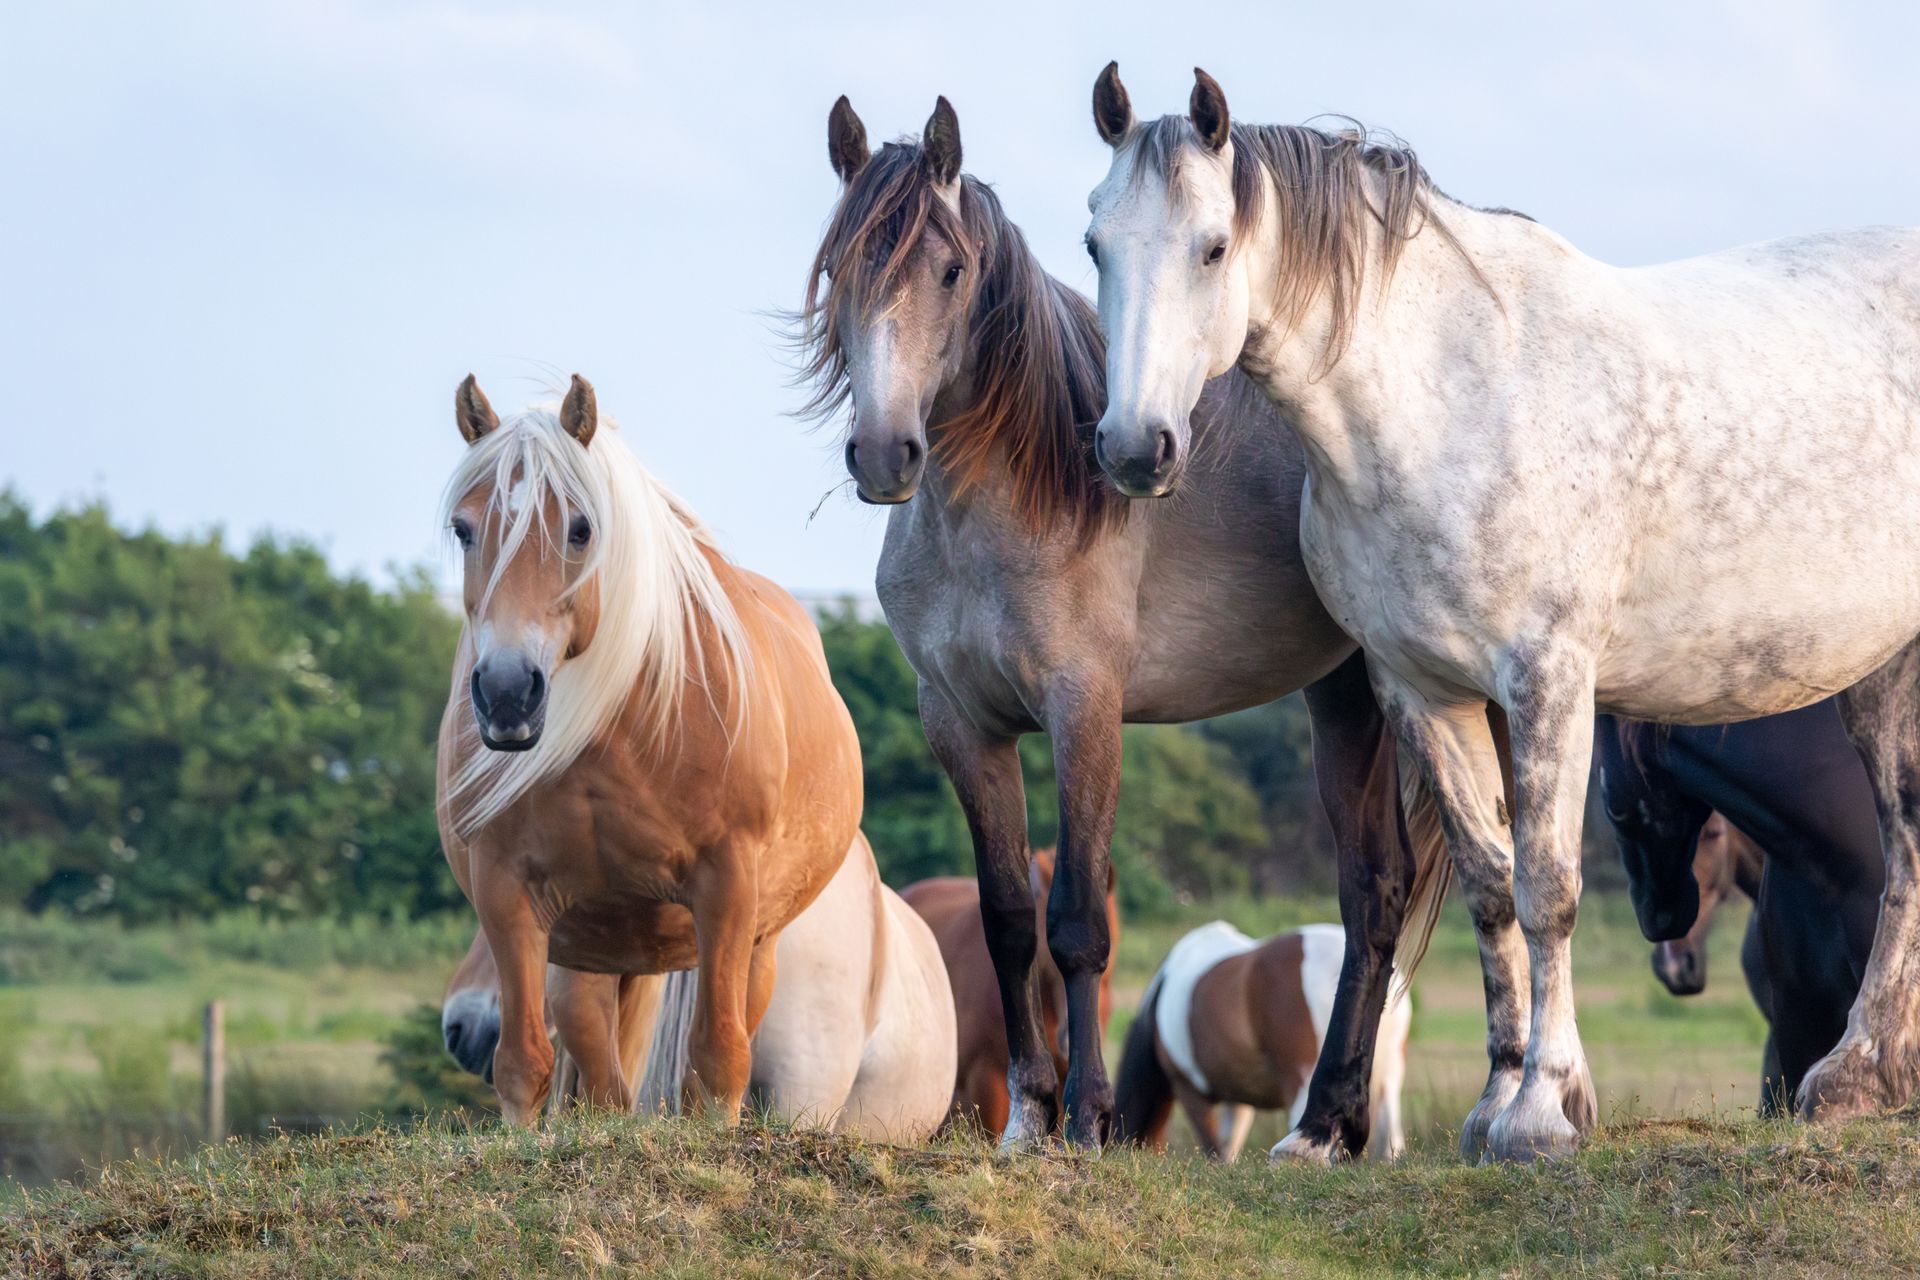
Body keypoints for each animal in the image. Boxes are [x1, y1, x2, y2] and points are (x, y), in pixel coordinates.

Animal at [436, 374, 863, 1124]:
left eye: (581, 528)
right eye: (464, 529)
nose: (509, 692)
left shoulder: (726, 888)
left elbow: (719, 1063)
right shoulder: (505, 891)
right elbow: (523, 1065)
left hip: (755, 943)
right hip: (594, 949)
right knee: (600, 1072)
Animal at [1114, 922, 1410, 1161]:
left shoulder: (1190, 1092)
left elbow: (1214, 1152)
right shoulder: (1237, 1102)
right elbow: (1227, 1151)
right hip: (1388, 1082)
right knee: (1390, 1147)